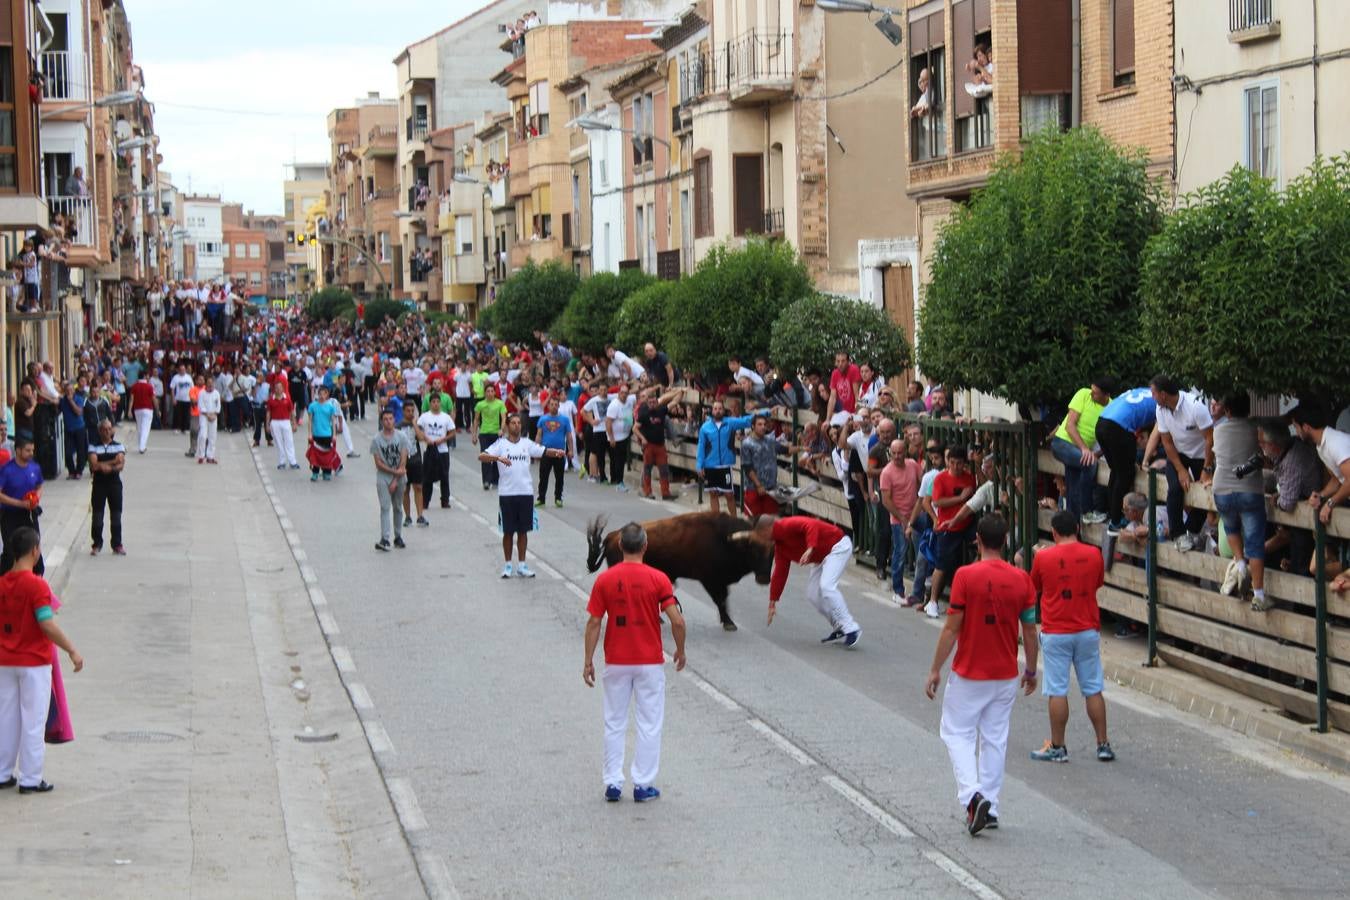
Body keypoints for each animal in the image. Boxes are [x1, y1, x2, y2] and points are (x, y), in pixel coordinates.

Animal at [585, 512, 777, 634]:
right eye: (753, 550)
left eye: (773, 553)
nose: (763, 579)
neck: (725, 540)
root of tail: (613, 535)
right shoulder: (711, 580)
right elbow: (720, 600)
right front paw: (729, 622)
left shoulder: (719, 581)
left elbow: (724, 599)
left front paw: (727, 621)